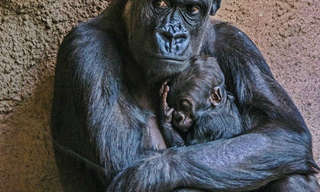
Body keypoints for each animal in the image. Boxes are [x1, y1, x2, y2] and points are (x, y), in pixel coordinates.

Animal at [51, 0, 318, 191]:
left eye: (192, 9)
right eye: (160, 4)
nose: (173, 35)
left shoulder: (237, 42)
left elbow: (284, 130)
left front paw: (147, 174)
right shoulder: (87, 49)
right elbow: (120, 157)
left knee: (290, 172)